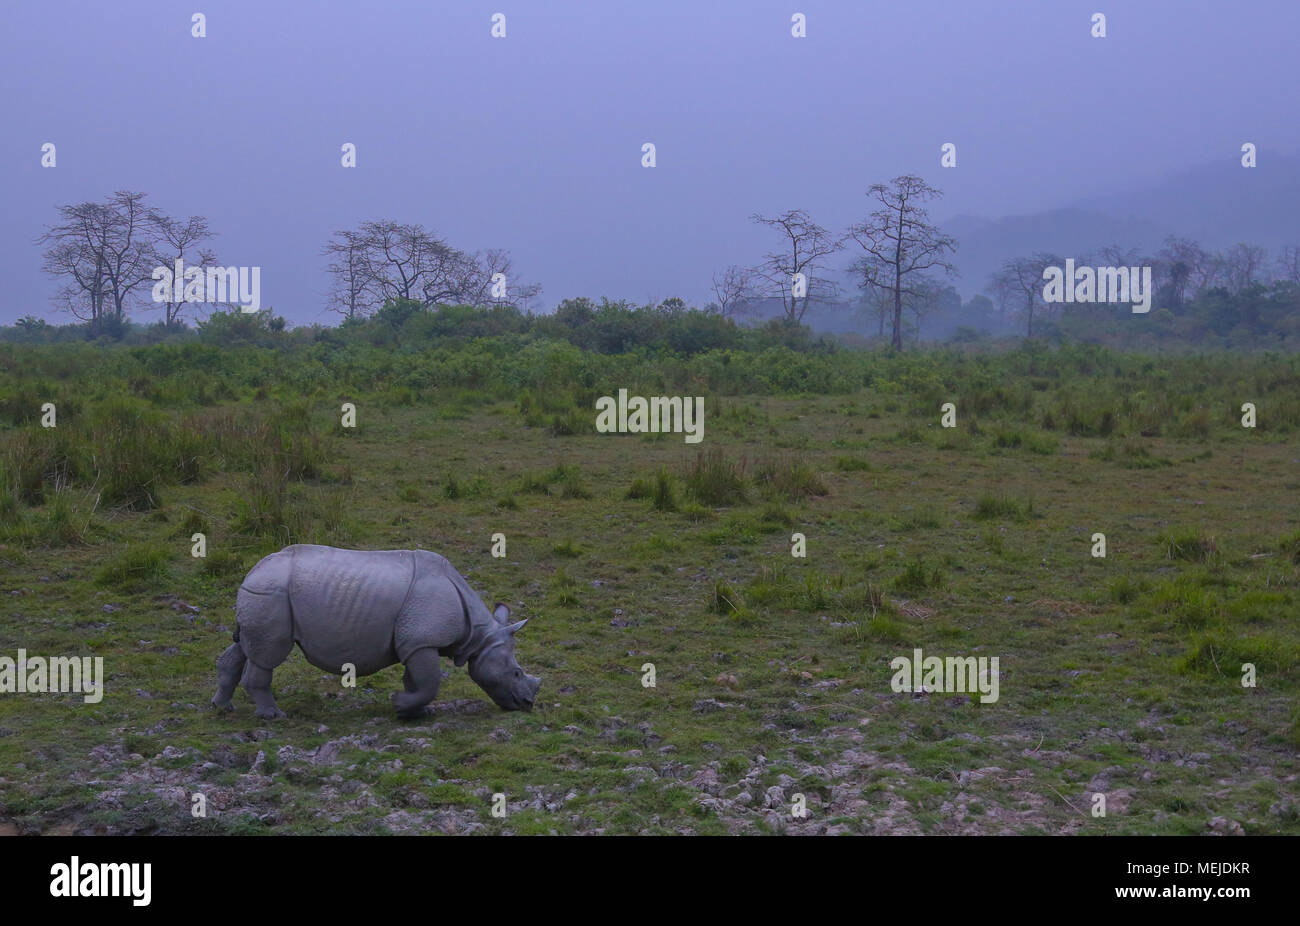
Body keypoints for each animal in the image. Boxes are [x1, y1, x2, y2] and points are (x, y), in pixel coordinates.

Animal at [213, 543, 538, 723]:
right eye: (517, 672)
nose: (527, 704)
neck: (479, 636)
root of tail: (252, 572)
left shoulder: (414, 641)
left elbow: (416, 681)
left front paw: (414, 713)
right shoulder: (422, 641)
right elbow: (430, 683)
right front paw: (399, 704)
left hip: (263, 594)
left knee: (245, 647)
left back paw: (222, 707)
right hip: (272, 594)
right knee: (267, 655)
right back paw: (273, 717)